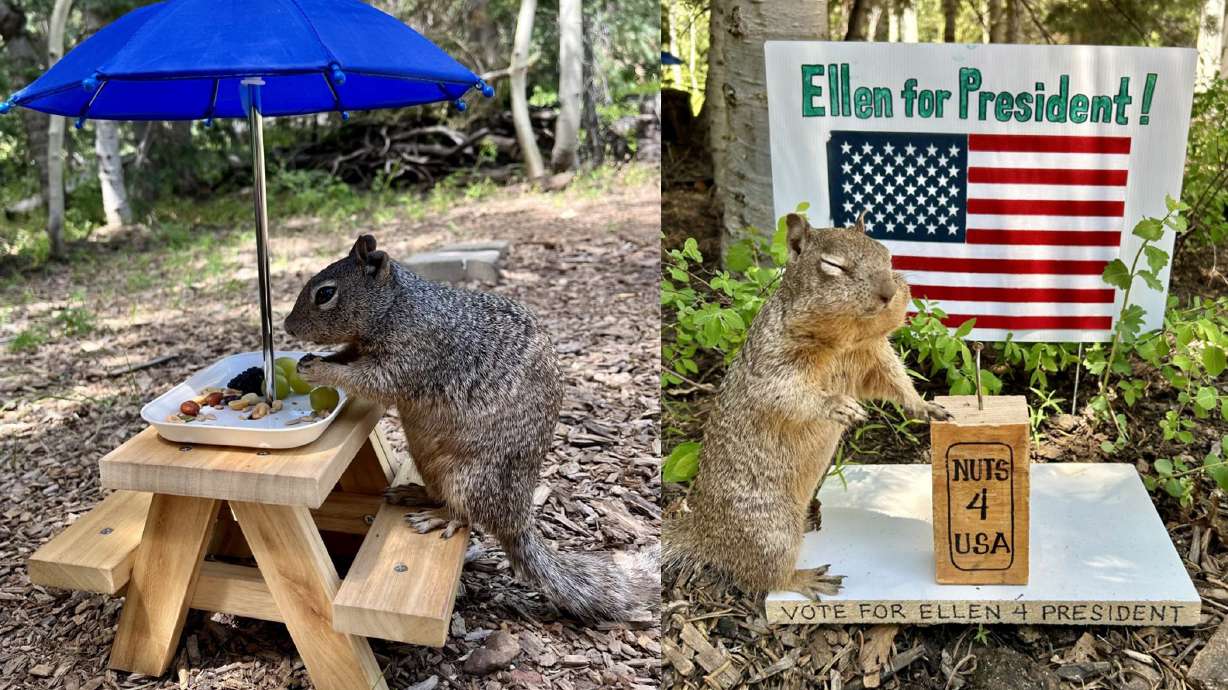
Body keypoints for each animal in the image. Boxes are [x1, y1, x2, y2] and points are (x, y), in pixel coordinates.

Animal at [284, 235, 658, 621]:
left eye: (326, 293)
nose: (287, 327)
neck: (397, 308)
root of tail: (515, 517)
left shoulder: (412, 356)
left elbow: (372, 381)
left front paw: (320, 370)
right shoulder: (360, 345)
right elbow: (347, 356)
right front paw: (314, 360)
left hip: (469, 477)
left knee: (466, 516)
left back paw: (439, 518)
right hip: (429, 463)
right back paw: (415, 494)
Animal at [662, 214, 950, 597]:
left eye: (887, 255)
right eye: (833, 265)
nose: (889, 293)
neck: (844, 341)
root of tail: (705, 533)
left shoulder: (872, 357)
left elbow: (894, 380)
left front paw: (923, 406)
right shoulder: (771, 366)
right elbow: (787, 394)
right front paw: (837, 405)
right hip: (772, 532)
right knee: (767, 577)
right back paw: (807, 577)